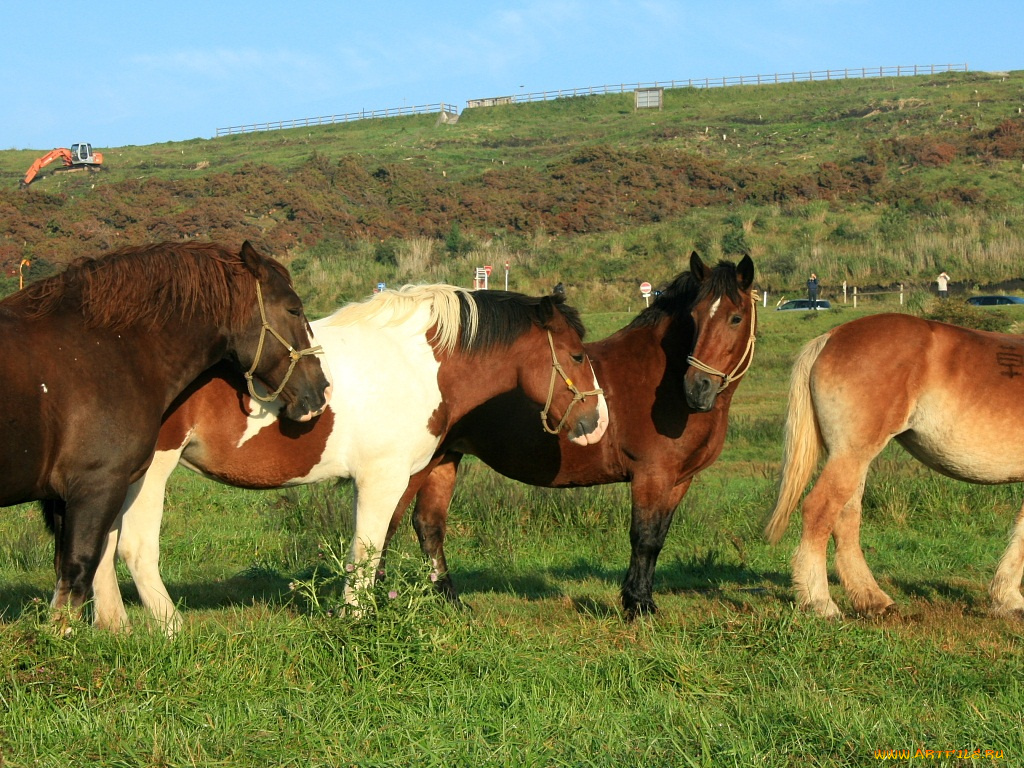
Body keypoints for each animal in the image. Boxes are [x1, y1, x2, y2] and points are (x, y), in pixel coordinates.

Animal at [0, 240, 327, 626]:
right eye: (294, 309)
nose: (320, 390)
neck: (102, 350)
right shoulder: (95, 486)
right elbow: (77, 571)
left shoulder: (66, 499)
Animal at [90, 282, 606, 630]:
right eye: (578, 356)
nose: (597, 422)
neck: (414, 365)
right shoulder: (382, 478)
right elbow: (366, 548)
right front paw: (355, 618)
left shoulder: (408, 476)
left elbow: (387, 542)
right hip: (152, 470)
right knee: (136, 547)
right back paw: (170, 626)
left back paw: (113, 625)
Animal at [387, 252, 757, 618]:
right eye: (695, 316)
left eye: (736, 318)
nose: (698, 388)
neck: (661, 382)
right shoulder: (652, 475)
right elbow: (644, 538)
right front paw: (638, 605)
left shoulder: (679, 480)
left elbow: (658, 539)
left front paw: (640, 599)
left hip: (443, 459)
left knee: (429, 526)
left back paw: (451, 600)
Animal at [770, 313, 1024, 618]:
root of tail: (832, 336)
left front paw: (1007, 598)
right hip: (851, 454)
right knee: (819, 510)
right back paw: (820, 601)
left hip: (851, 457)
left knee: (845, 518)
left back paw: (872, 599)